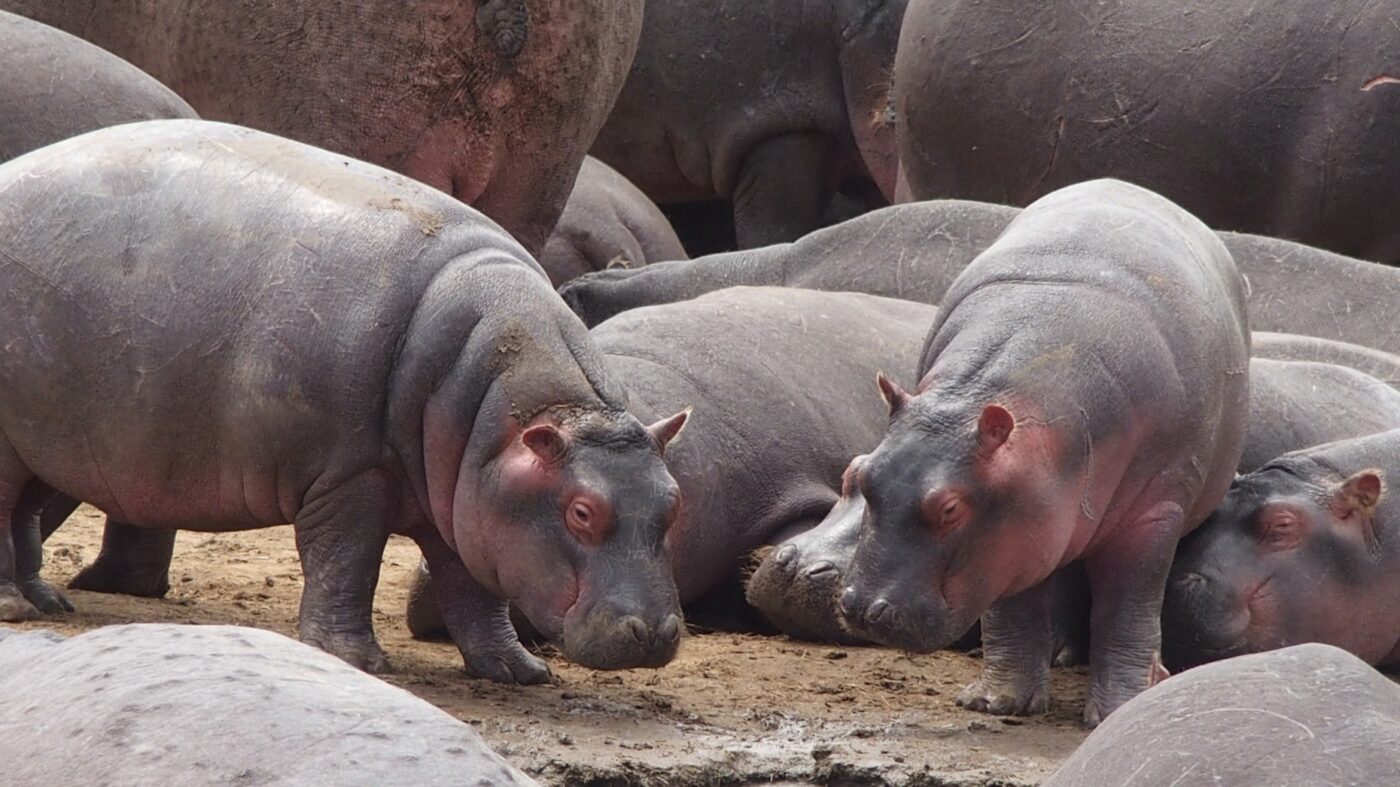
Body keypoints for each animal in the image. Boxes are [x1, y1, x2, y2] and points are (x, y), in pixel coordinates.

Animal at [835, 180, 1250, 726]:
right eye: (860, 476)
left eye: (949, 508)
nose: (862, 608)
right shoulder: (1017, 528)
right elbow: (1013, 603)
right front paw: (995, 702)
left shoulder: (1154, 512)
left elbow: (1128, 604)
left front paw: (1119, 707)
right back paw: (1060, 654)